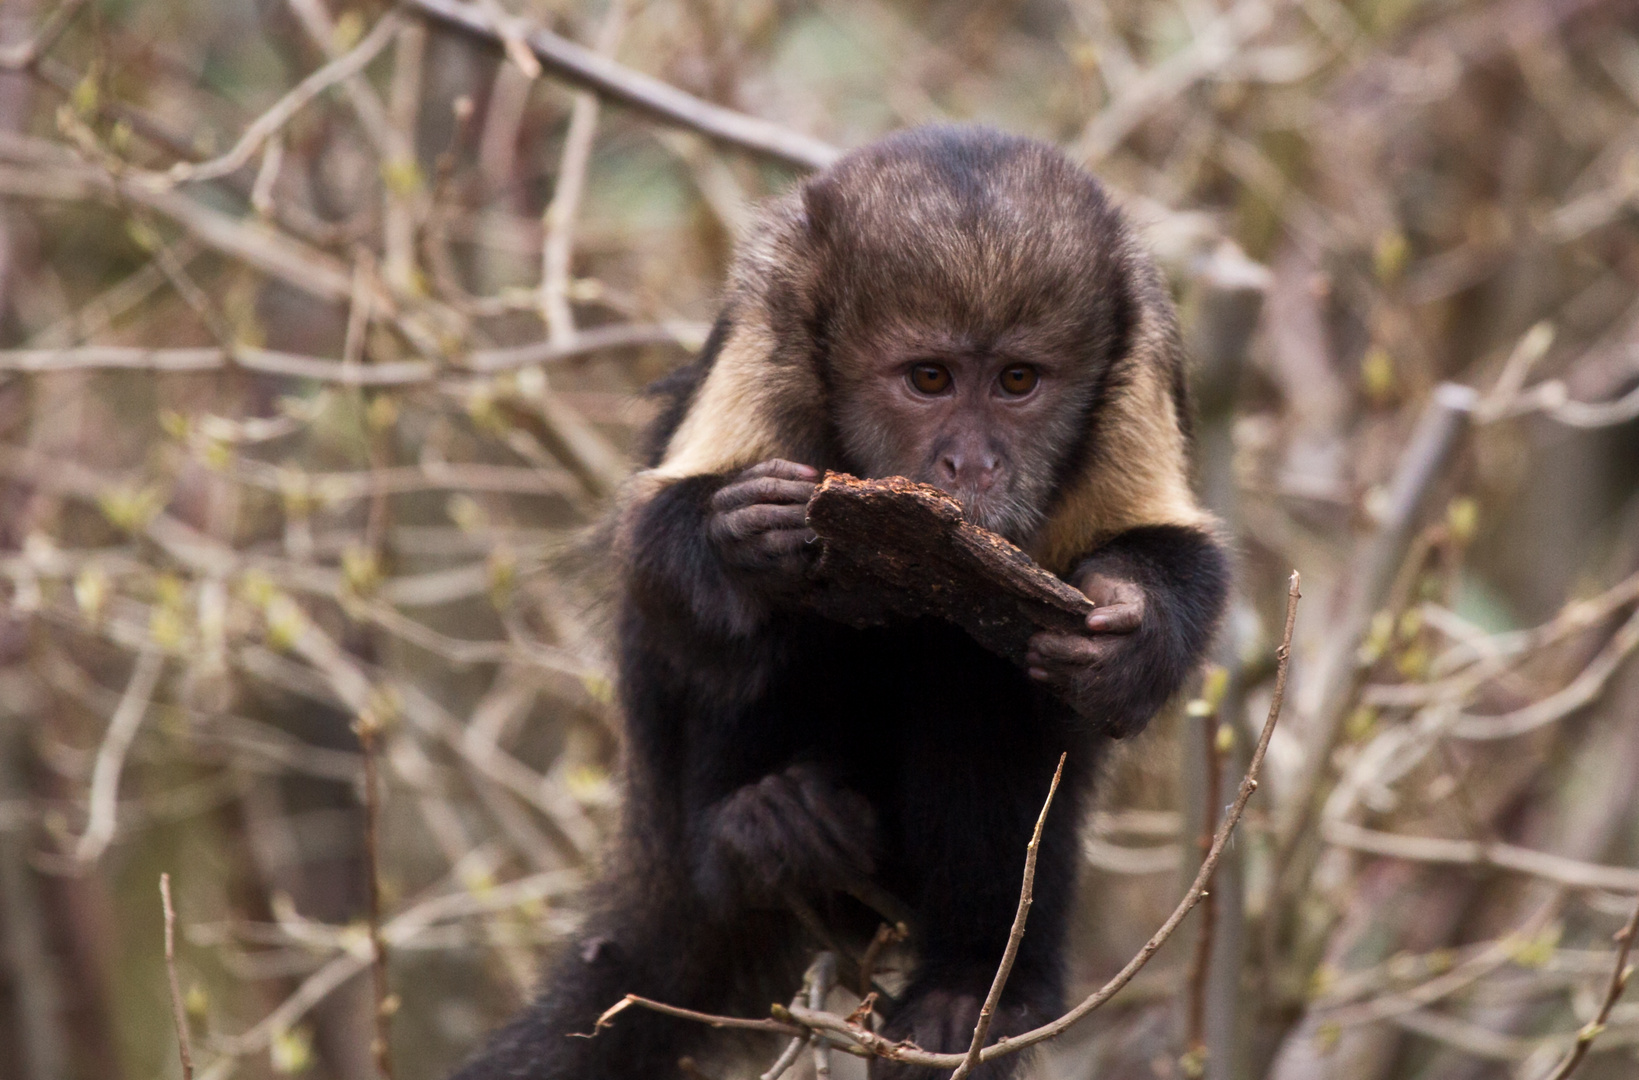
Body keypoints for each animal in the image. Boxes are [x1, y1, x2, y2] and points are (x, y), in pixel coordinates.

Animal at [455, 124, 1225, 1080]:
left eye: (1017, 381)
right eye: (928, 378)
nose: (972, 465)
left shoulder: (1142, 347)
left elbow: (1175, 562)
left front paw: (1130, 628)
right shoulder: (770, 312)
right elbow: (653, 547)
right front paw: (745, 543)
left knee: (974, 666)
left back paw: (977, 987)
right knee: (775, 647)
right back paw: (756, 834)